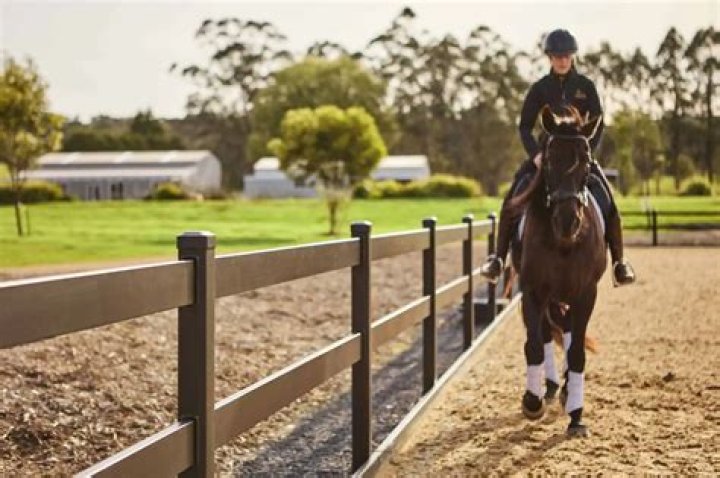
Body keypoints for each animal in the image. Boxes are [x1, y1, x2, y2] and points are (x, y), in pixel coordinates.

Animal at [506, 104, 606, 437]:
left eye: (586, 161)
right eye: (549, 160)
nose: (567, 222)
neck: (563, 242)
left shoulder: (586, 294)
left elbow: (576, 353)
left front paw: (576, 414)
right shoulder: (533, 292)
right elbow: (535, 345)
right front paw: (532, 402)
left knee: (568, 332)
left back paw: (563, 391)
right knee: (548, 333)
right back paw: (548, 388)